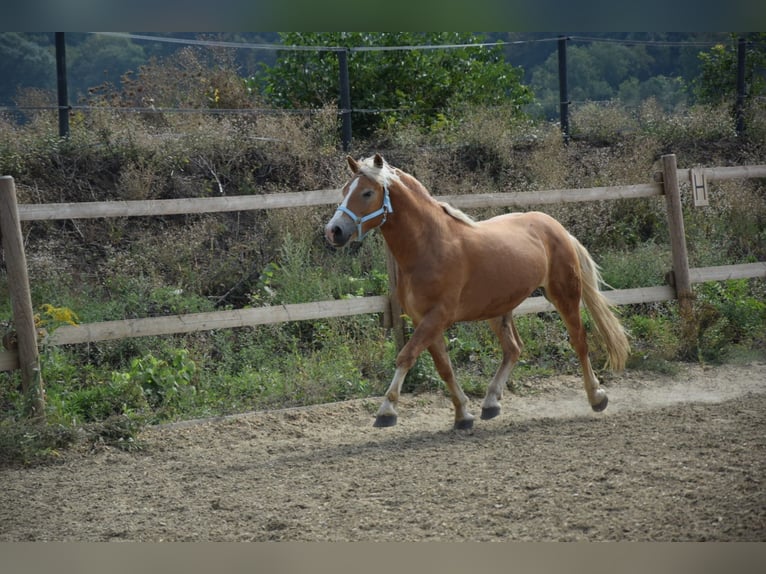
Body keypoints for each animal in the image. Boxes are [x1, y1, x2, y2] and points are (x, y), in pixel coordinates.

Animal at [324, 155, 632, 430]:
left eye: (367, 192)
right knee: (513, 348)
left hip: (564, 293)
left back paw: (597, 397)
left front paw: (386, 411)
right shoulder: (424, 320)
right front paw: (463, 416)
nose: (334, 231)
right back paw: (491, 403)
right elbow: (444, 368)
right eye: (344, 191)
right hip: (498, 309)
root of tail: (556, 227)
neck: (429, 247)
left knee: (579, 341)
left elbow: (405, 356)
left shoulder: (437, 317)